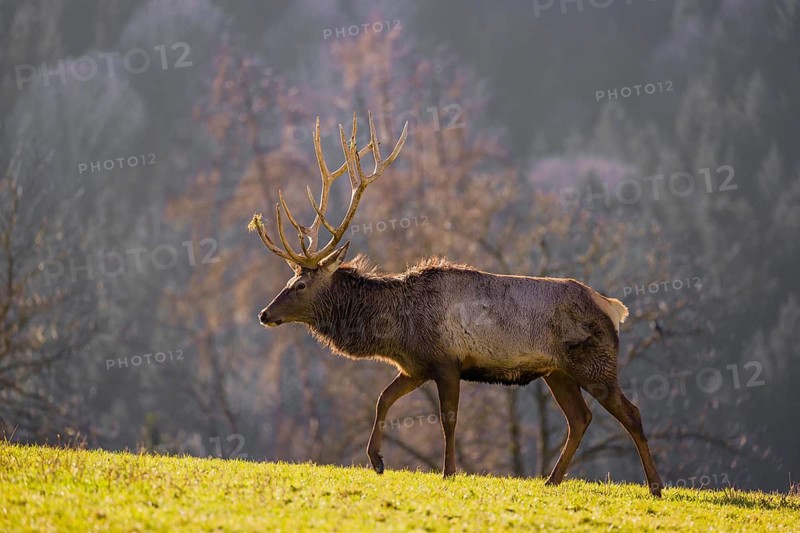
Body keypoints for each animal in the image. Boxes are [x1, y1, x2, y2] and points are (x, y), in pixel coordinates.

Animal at [249, 112, 664, 497]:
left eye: (300, 284)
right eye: (289, 280)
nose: (265, 314)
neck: (395, 329)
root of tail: (613, 308)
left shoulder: (447, 361)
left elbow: (448, 418)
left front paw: (448, 472)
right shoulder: (416, 366)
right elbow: (383, 399)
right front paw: (377, 460)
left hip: (596, 365)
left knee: (631, 413)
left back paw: (655, 486)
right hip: (557, 371)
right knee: (580, 419)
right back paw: (552, 480)